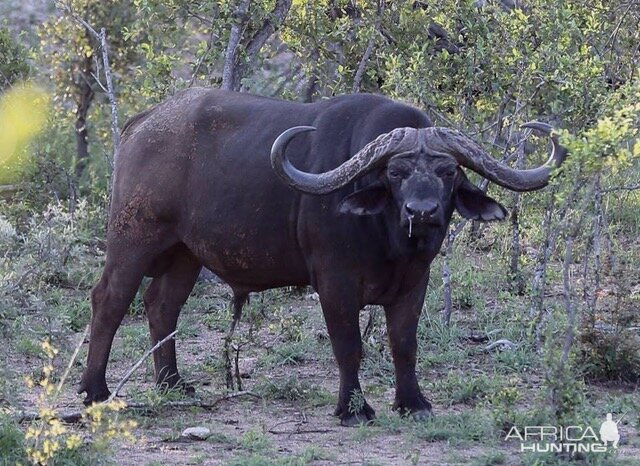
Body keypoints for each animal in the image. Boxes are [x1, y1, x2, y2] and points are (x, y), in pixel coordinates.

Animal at [80, 88, 564, 426]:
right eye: (396, 172)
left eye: (448, 172)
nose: (421, 212)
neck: (389, 241)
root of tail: (142, 124)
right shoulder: (335, 283)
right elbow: (348, 346)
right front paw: (353, 408)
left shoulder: (416, 283)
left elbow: (404, 344)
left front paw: (413, 403)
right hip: (132, 238)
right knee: (109, 301)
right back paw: (95, 390)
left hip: (185, 254)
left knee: (162, 305)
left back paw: (174, 385)